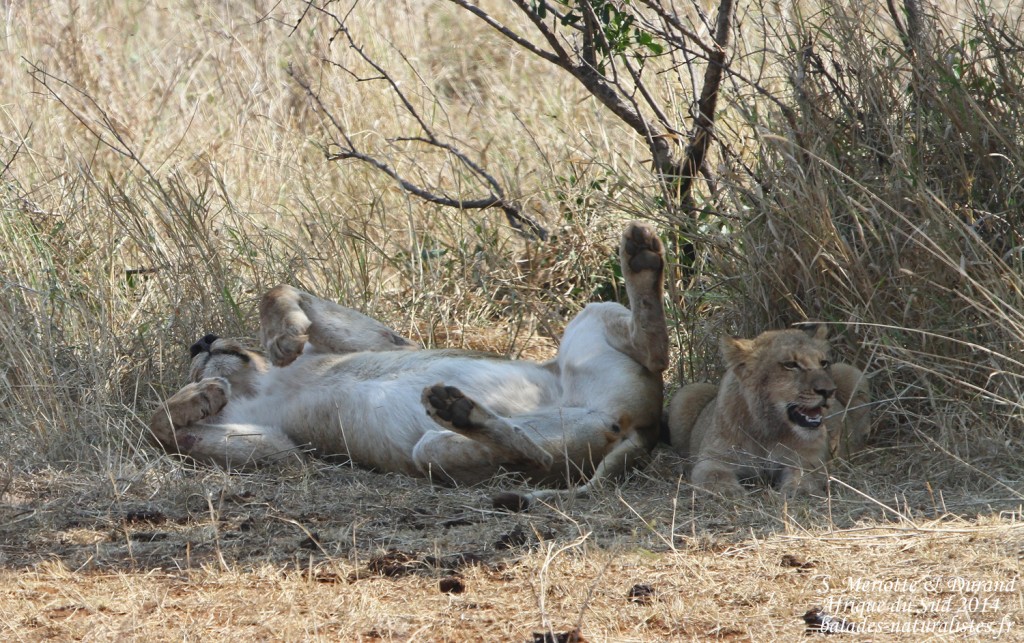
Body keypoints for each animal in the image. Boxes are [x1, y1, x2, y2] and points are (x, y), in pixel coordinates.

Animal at [150, 222, 669, 510]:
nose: (200, 342)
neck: (256, 384)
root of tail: (638, 429)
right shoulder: (284, 452)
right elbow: (158, 429)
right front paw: (201, 395)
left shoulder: (384, 340)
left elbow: (278, 289)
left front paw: (282, 339)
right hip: (439, 450)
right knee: (535, 456)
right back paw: (460, 409)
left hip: (590, 318)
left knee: (655, 353)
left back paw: (641, 255)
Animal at [667, 326, 870, 496]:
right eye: (791, 364)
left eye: (824, 363)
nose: (829, 391)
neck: (768, 429)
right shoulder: (713, 458)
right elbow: (715, 476)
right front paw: (728, 491)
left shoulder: (808, 458)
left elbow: (804, 475)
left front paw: (800, 491)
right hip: (687, 392)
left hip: (852, 374)